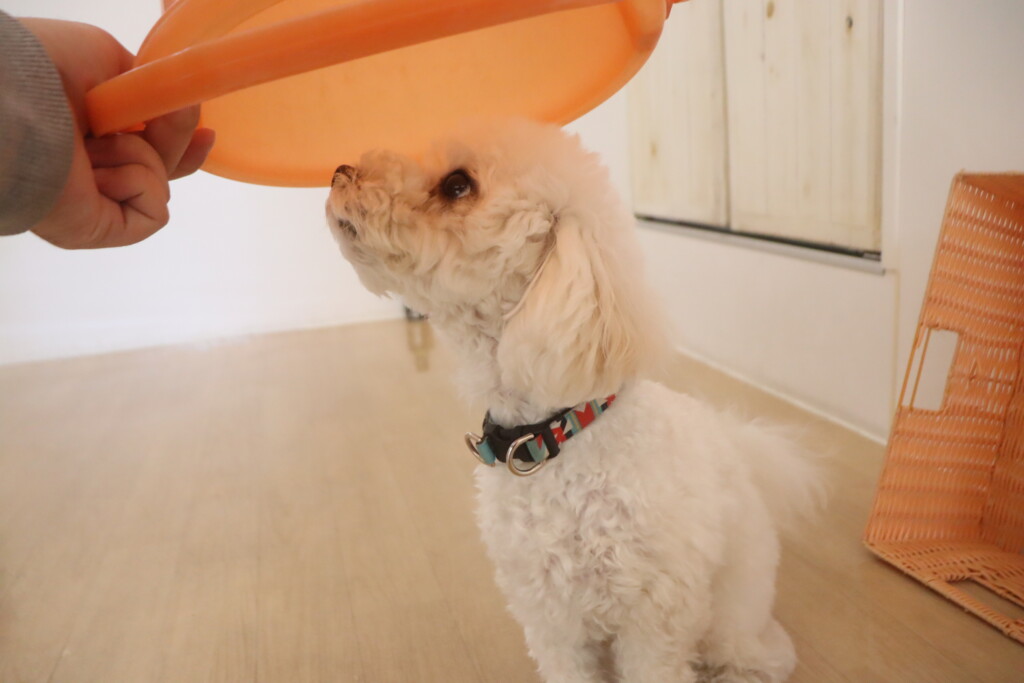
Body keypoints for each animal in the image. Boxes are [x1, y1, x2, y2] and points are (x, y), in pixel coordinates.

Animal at [327, 120, 823, 683]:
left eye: (457, 185)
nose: (341, 171)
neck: (557, 436)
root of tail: (739, 445)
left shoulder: (653, 624)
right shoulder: (549, 616)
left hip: (730, 626)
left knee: (767, 657)